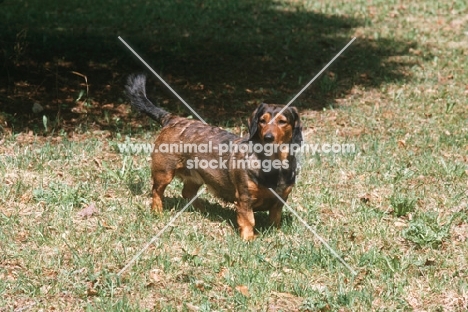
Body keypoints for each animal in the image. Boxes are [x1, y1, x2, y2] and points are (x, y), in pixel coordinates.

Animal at [125, 74, 304, 240]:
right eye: (262, 121)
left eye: (282, 121)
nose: (268, 137)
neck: (272, 164)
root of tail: (172, 119)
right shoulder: (245, 198)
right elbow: (248, 220)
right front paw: (248, 239)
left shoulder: (280, 200)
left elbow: (275, 218)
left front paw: (277, 233)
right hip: (164, 172)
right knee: (156, 192)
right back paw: (158, 211)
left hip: (196, 176)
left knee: (187, 192)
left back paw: (202, 209)